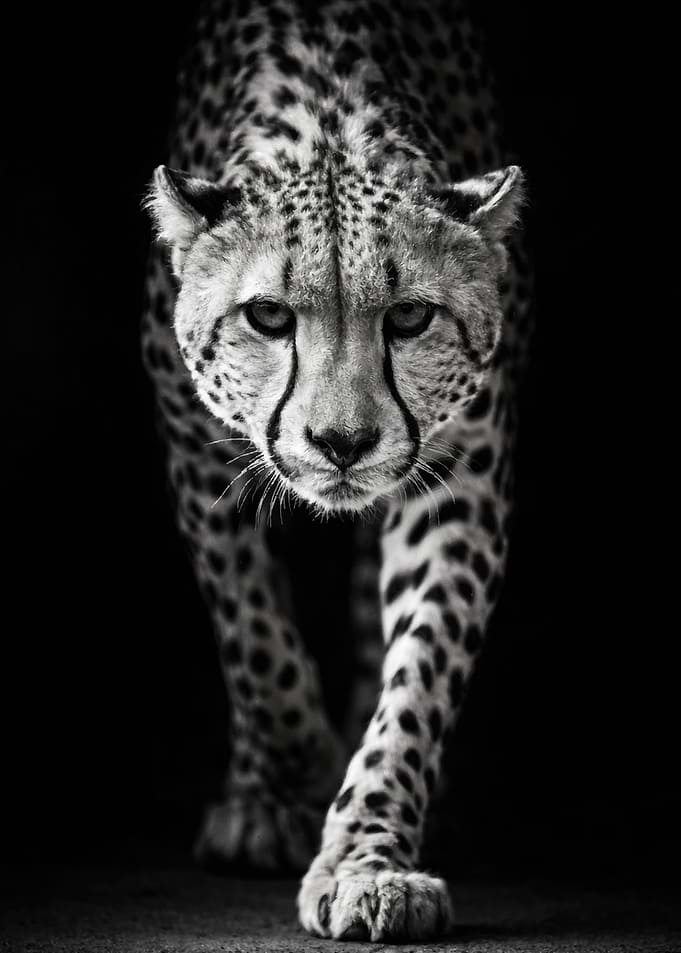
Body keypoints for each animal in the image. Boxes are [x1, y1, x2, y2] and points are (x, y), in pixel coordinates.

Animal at [141, 0, 532, 941]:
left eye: (411, 317)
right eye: (267, 315)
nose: (342, 442)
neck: (330, 122)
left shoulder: (459, 472)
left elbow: (419, 667)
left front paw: (367, 859)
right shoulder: (185, 428)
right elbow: (254, 630)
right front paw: (281, 792)